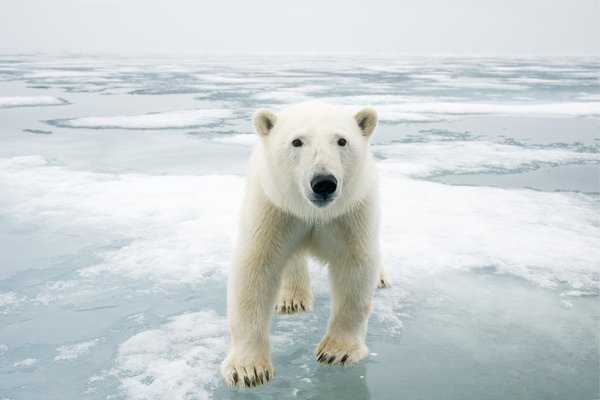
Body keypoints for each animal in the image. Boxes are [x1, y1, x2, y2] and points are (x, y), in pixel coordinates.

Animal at [220, 100, 390, 388]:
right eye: (297, 142)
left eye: (342, 140)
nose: (324, 183)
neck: (314, 213)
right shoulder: (275, 208)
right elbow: (255, 268)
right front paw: (248, 369)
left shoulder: (350, 212)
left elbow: (355, 267)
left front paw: (337, 352)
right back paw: (292, 299)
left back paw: (381, 277)